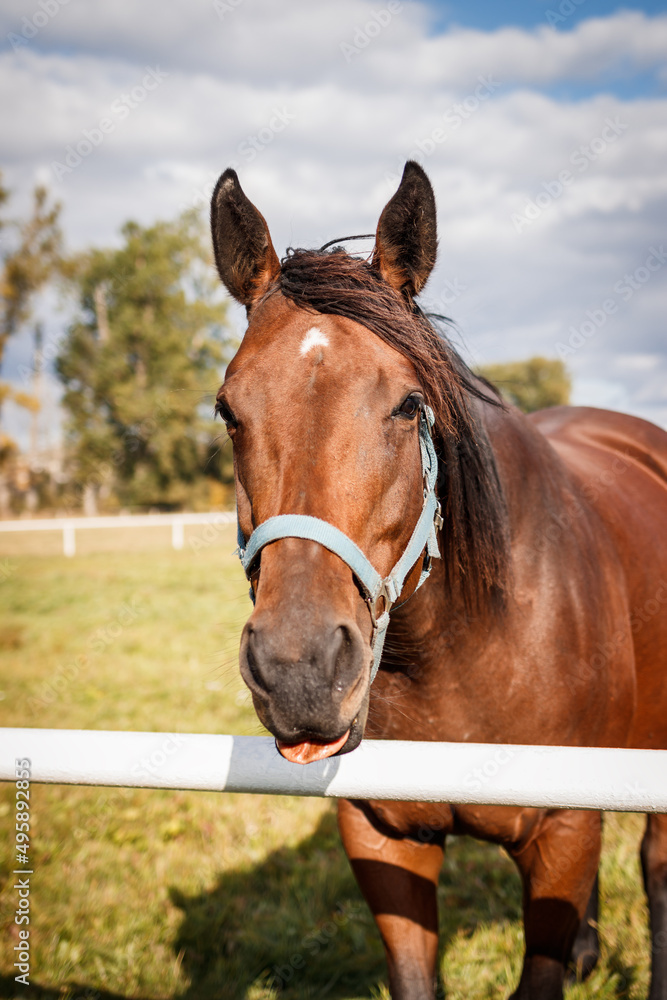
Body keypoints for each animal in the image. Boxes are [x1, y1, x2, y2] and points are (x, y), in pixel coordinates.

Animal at [209, 161, 667, 1000]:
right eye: (228, 410)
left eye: (407, 404)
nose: (299, 672)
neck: (464, 647)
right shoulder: (381, 836)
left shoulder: (561, 831)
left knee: (654, 865)